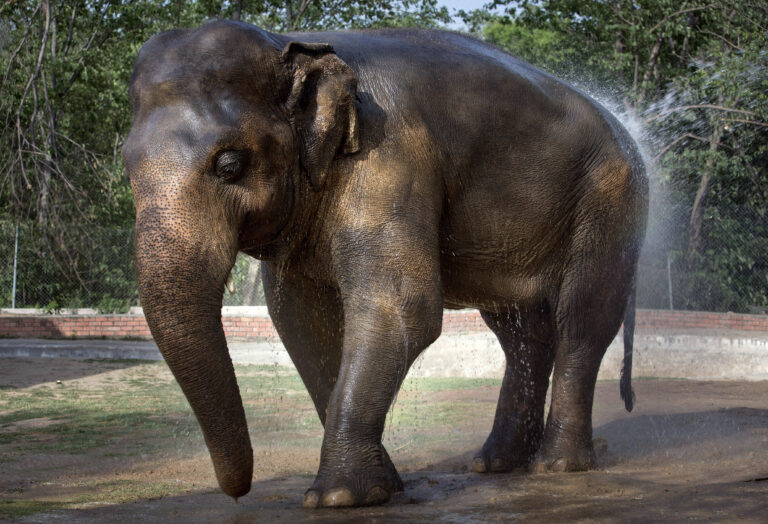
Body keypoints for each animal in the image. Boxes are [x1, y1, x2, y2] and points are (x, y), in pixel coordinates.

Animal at [122, 20, 648, 508]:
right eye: (126, 169)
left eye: (229, 165)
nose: (237, 495)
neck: (289, 42)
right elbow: (300, 322)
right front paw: (383, 488)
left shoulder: (390, 156)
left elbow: (401, 307)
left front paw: (337, 498)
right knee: (521, 330)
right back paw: (497, 463)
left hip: (610, 197)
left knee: (582, 319)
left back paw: (558, 466)